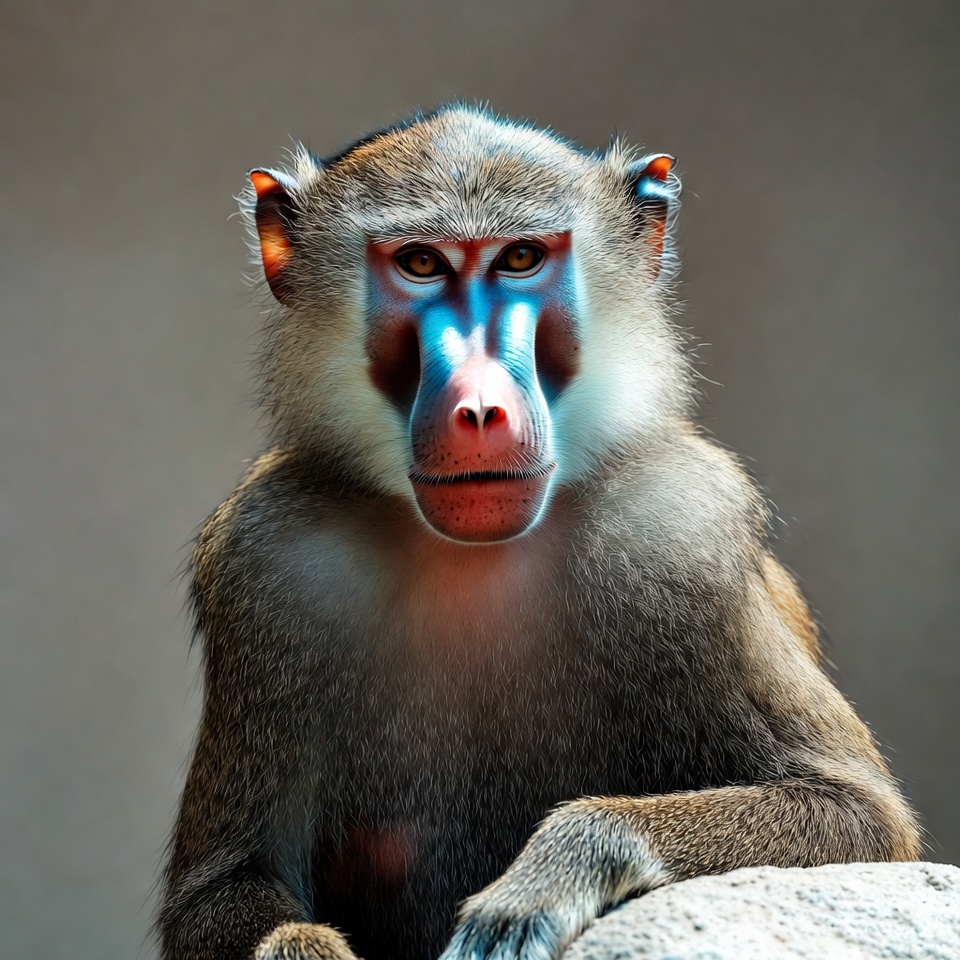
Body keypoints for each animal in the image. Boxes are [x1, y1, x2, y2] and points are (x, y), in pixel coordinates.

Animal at [158, 106, 920, 960]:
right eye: (421, 263)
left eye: (520, 258)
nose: (479, 408)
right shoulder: (271, 559)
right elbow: (218, 887)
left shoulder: (677, 530)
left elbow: (858, 812)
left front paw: (552, 874)